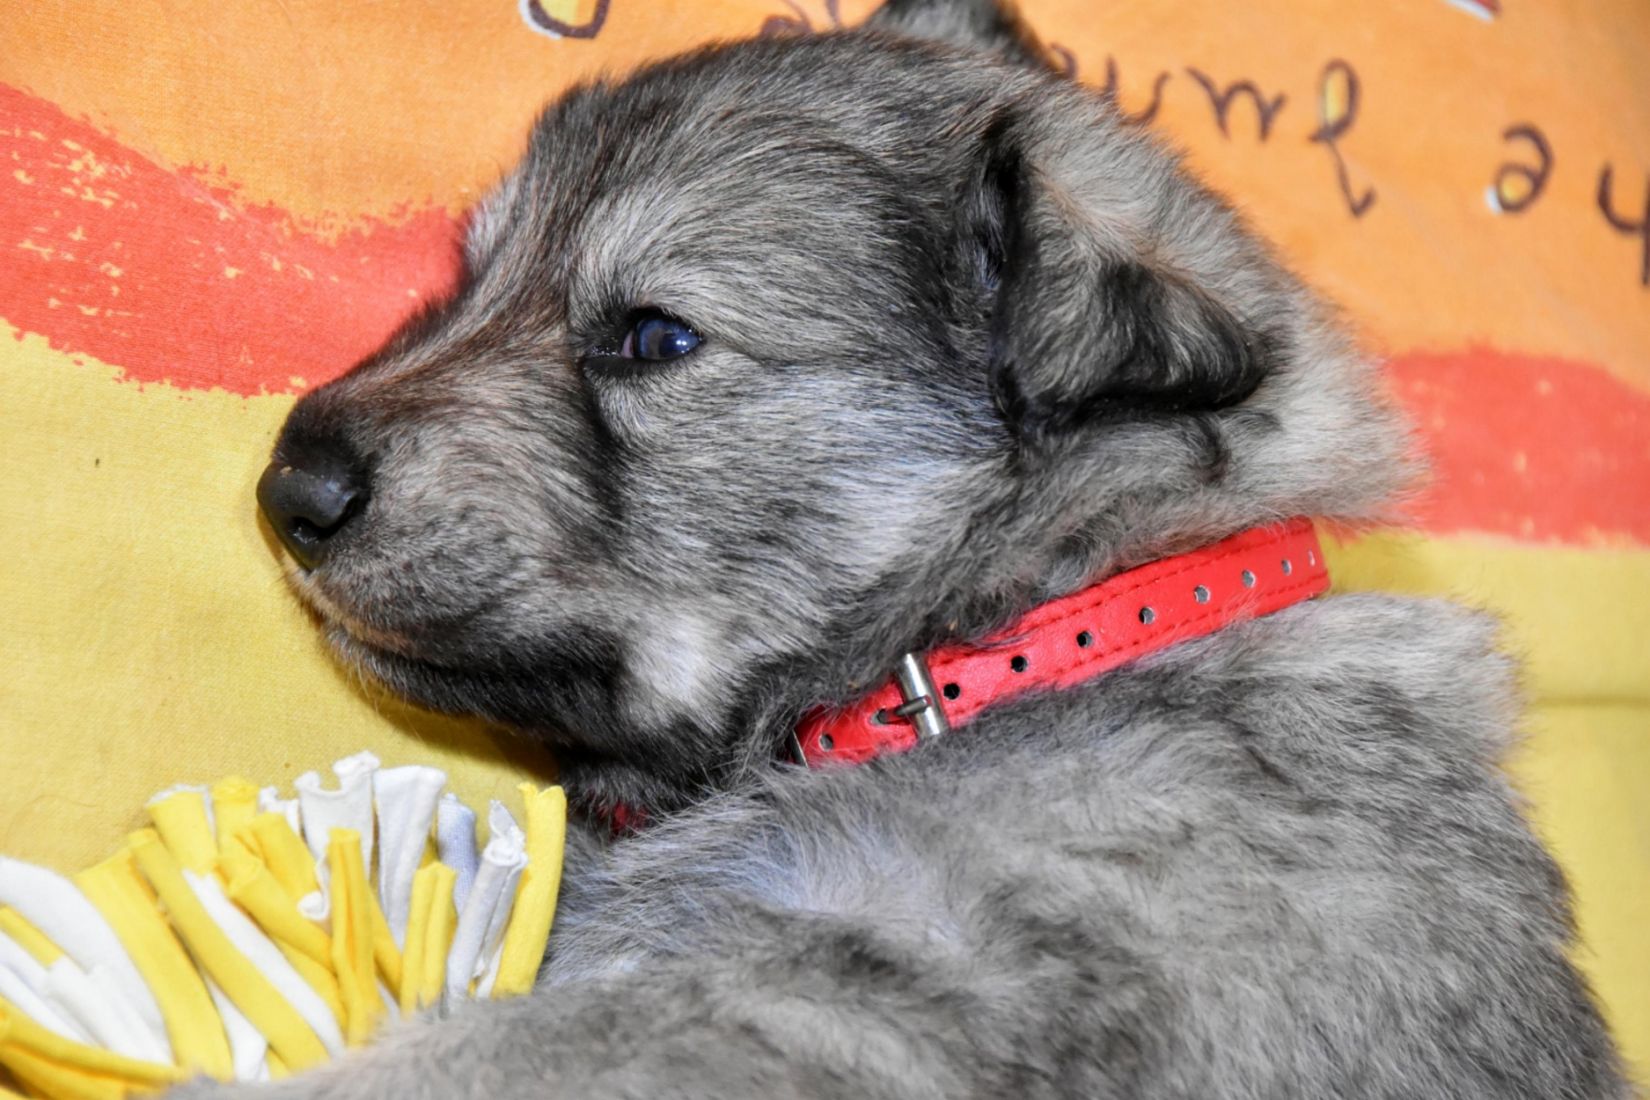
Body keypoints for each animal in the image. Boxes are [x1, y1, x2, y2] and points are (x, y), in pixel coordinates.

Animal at [228, 0, 1629, 1095]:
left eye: (656, 337)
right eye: (476, 277)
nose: (293, 482)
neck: (1018, 643)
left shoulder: (849, 1004)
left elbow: (501, 1051)